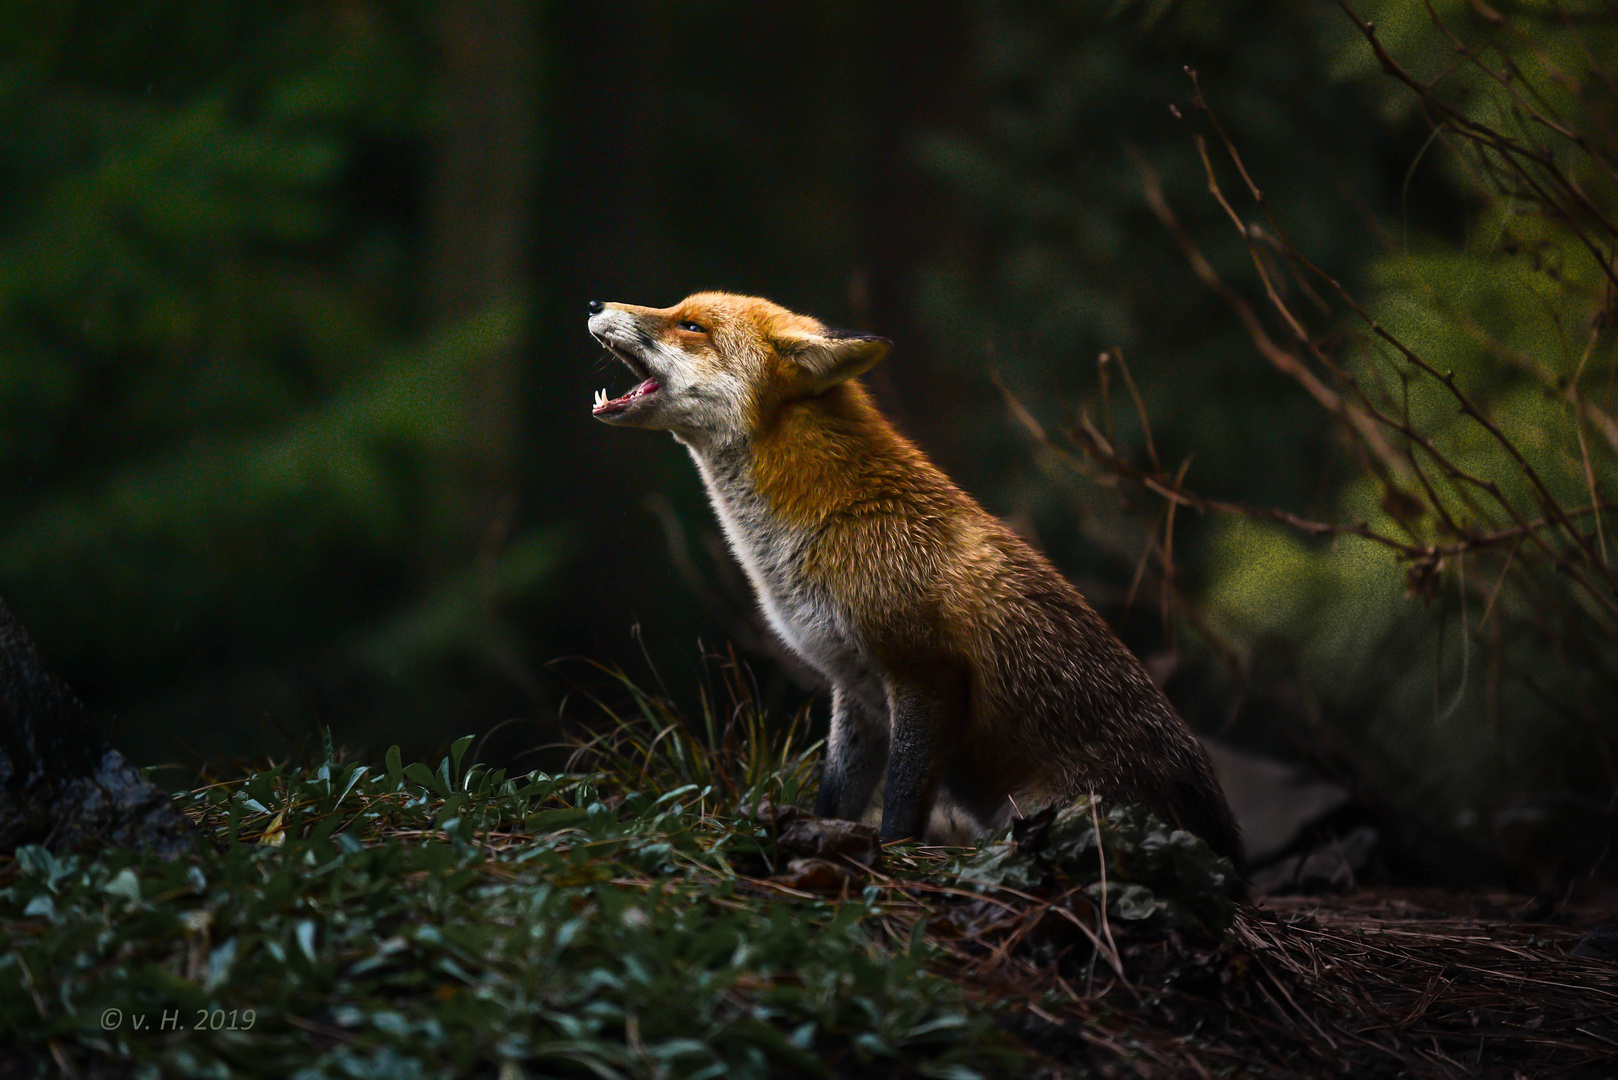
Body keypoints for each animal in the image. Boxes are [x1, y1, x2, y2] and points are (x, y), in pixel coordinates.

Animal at [588, 289, 1242, 867]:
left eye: (691, 325)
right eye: (679, 311)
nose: (594, 303)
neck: (829, 523)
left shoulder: (925, 673)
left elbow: (902, 805)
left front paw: (893, 859)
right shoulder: (854, 687)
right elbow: (836, 797)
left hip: (1040, 812)